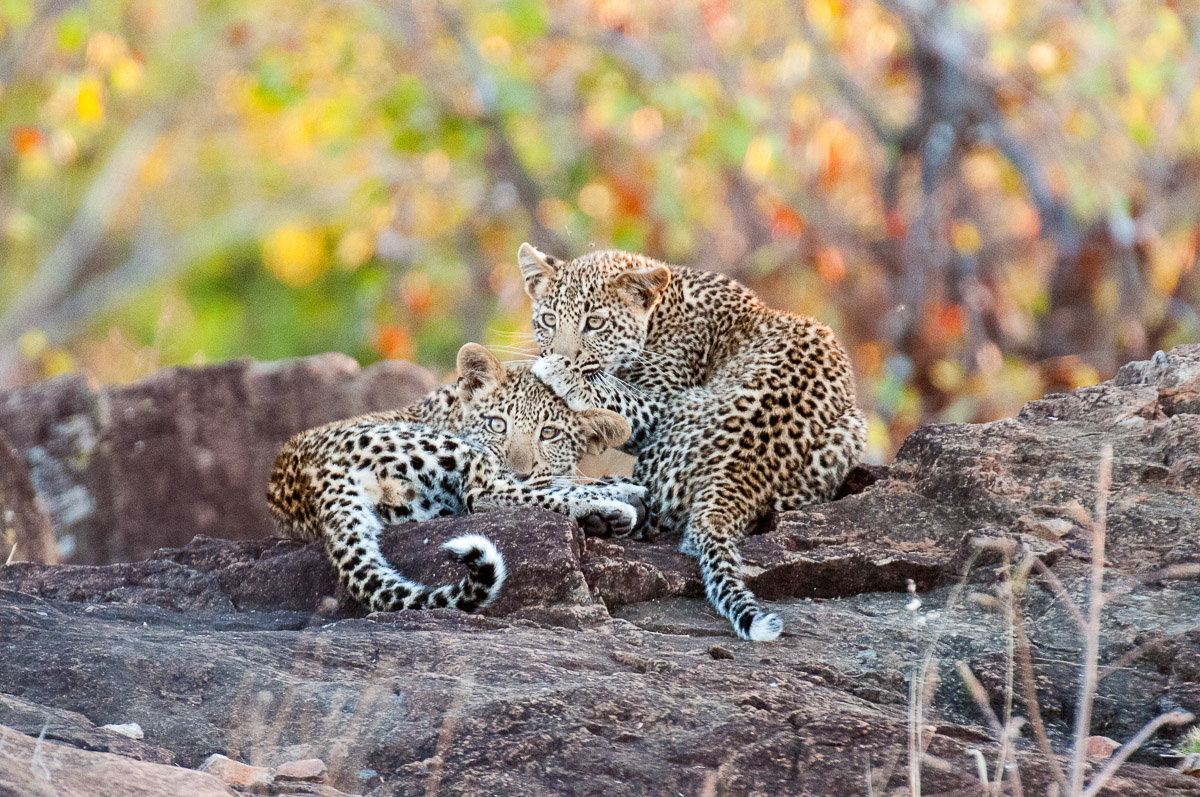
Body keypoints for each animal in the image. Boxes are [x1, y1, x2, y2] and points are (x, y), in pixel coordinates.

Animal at [268, 342, 642, 615]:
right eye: (497, 424)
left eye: (549, 434)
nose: (519, 471)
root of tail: (314, 475)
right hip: (450, 452)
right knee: (486, 494)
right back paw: (611, 506)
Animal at [516, 243, 866, 641]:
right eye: (548, 320)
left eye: (595, 323)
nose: (559, 354)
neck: (661, 313)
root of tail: (736, 475)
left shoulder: (660, 403)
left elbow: (612, 394)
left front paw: (559, 372)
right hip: (851, 429)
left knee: (645, 509)